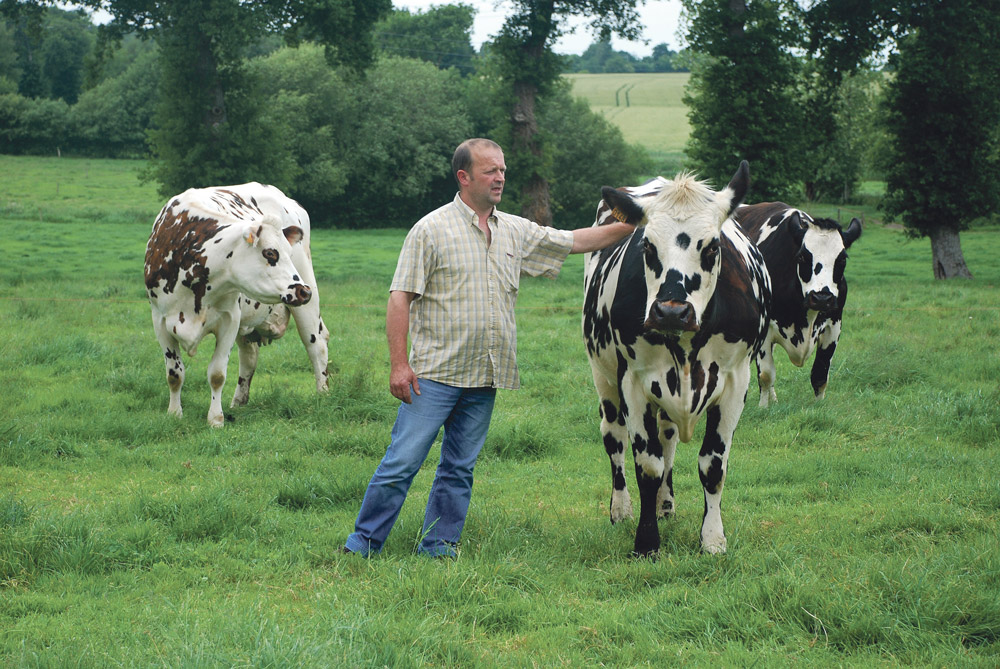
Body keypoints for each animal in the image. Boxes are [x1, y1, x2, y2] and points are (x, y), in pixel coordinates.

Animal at [143, 181, 330, 428]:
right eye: (270, 253)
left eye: (288, 253)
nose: (302, 290)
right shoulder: (160, 320)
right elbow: (175, 374)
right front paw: (174, 413)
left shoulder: (229, 319)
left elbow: (217, 374)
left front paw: (215, 419)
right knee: (249, 356)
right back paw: (239, 401)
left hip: (307, 296)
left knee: (316, 344)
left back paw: (323, 394)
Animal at [584, 163, 768, 560]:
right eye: (647, 246)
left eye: (712, 246)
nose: (671, 311)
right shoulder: (633, 382)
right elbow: (648, 465)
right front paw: (646, 542)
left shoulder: (736, 381)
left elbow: (712, 465)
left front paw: (712, 539)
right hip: (604, 376)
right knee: (614, 438)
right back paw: (621, 508)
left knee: (667, 439)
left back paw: (665, 505)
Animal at [732, 201, 864, 404]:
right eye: (802, 256)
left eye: (842, 259)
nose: (822, 298)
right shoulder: (765, 330)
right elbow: (766, 375)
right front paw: (763, 407)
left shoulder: (834, 325)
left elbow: (820, 374)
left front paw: (819, 406)